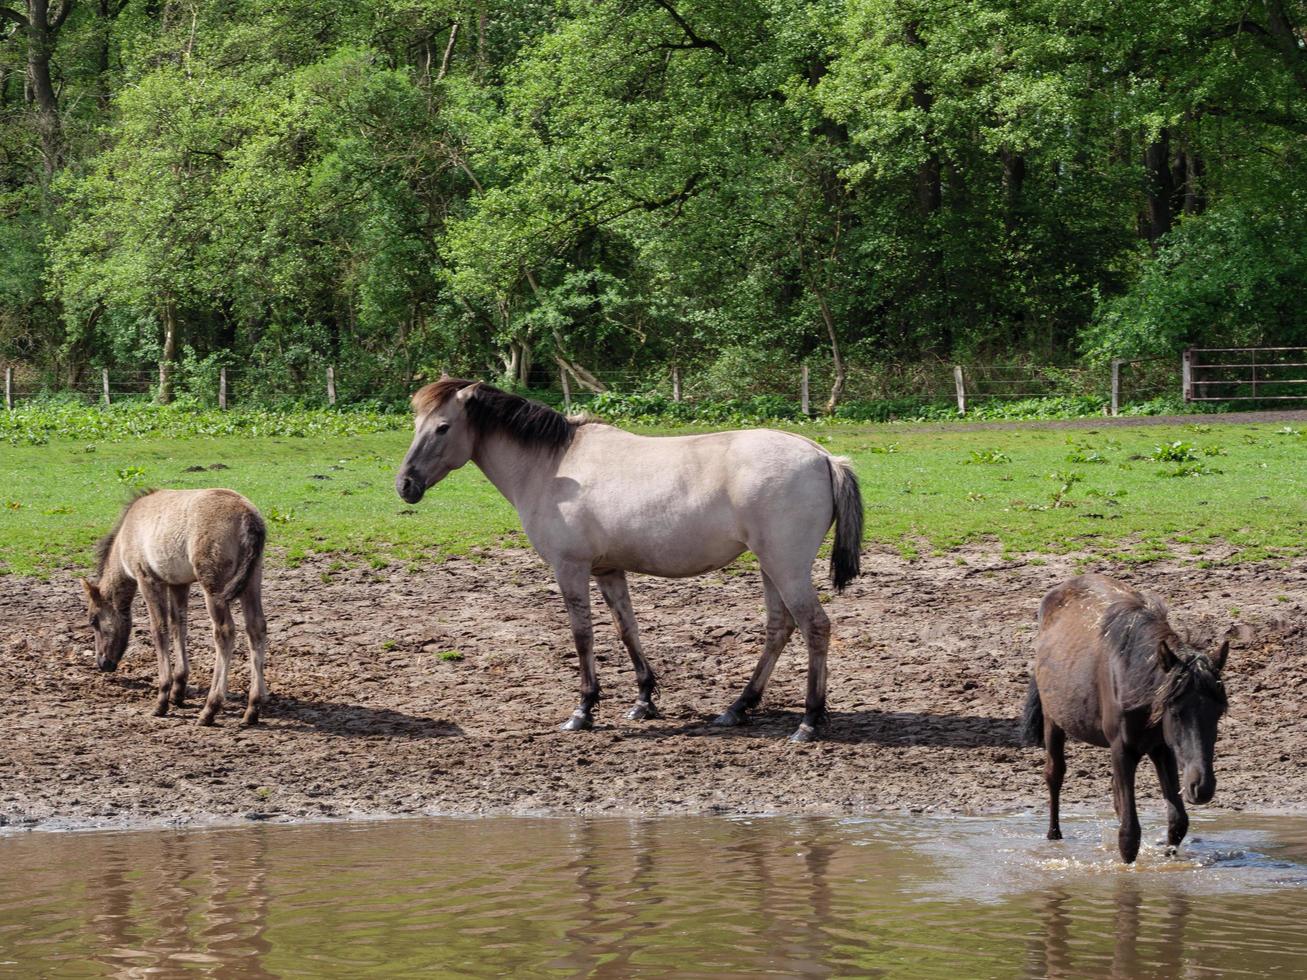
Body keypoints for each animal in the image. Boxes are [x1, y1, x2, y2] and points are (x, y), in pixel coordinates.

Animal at [397, 378, 867, 742]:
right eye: (416, 425)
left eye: (442, 428)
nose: (404, 485)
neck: (552, 466)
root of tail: (824, 457)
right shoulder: (609, 570)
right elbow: (627, 630)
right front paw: (643, 701)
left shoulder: (570, 568)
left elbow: (582, 635)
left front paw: (583, 710)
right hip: (771, 567)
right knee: (778, 629)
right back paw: (738, 707)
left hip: (786, 566)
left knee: (814, 627)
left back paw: (809, 722)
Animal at [1019, 580, 1223, 862]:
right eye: (1175, 712)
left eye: (1218, 713)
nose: (1201, 787)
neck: (1133, 677)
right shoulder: (1123, 749)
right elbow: (1129, 835)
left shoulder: (1162, 748)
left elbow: (1177, 822)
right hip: (1053, 722)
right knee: (1054, 774)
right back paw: (1053, 835)